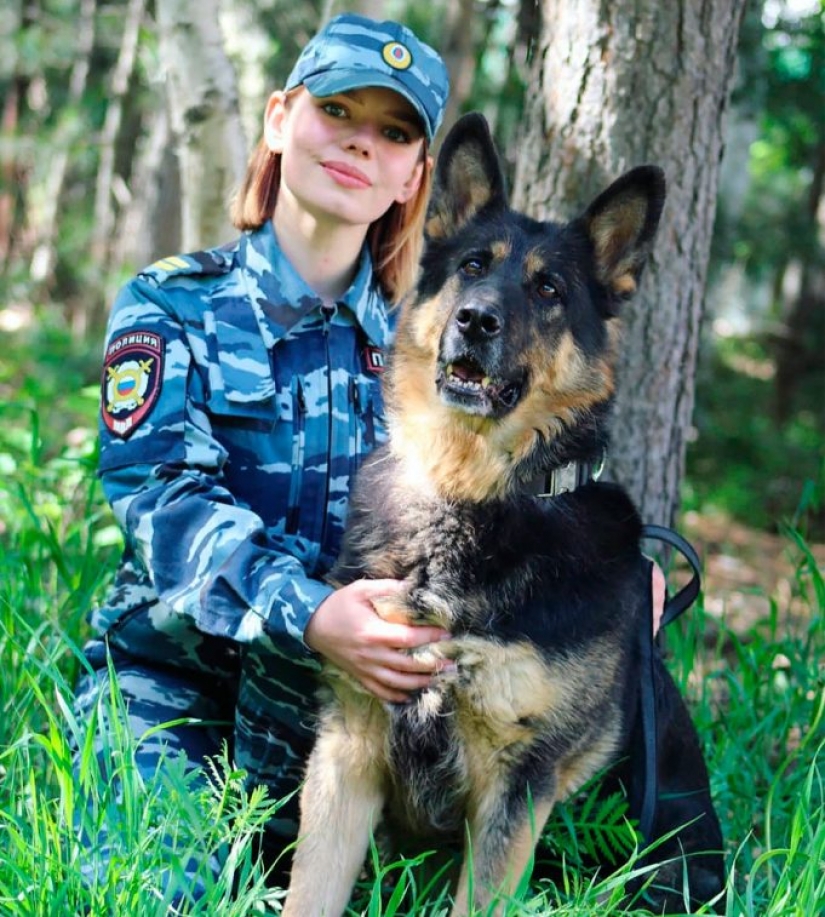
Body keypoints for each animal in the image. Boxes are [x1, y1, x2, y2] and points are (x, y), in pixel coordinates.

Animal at [282, 111, 720, 912]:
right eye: (471, 266)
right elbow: (311, 892)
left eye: (548, 288)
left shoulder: (515, 789)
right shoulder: (348, 749)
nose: (475, 320)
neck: (472, 493)